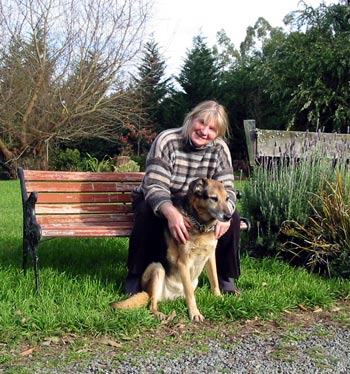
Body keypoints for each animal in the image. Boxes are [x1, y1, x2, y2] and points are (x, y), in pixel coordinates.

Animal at [110, 178, 234, 322]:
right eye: (214, 198)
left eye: (227, 198)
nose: (229, 217)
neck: (201, 225)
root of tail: (168, 297)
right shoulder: (184, 263)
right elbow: (190, 294)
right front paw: (194, 313)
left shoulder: (210, 257)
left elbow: (214, 281)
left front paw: (219, 298)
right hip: (157, 268)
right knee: (152, 305)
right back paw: (160, 313)